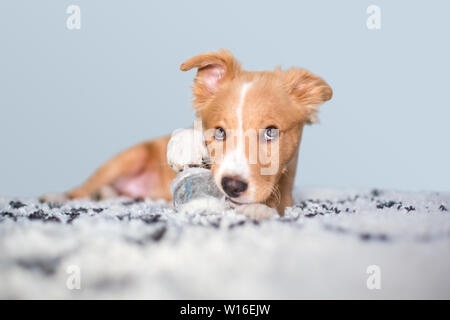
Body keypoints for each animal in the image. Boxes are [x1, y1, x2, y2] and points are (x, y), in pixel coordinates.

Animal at [44, 50, 332, 219]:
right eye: (219, 132)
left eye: (271, 132)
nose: (232, 186)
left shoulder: (286, 194)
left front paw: (259, 209)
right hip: (129, 157)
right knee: (82, 188)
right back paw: (61, 196)